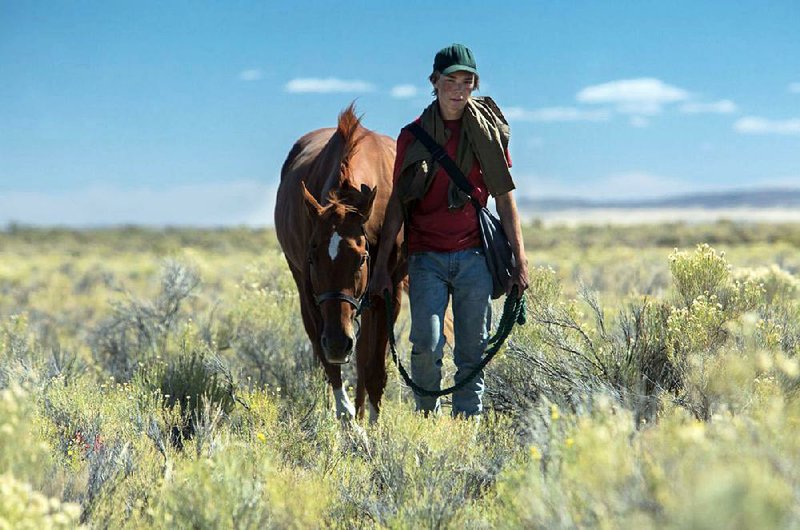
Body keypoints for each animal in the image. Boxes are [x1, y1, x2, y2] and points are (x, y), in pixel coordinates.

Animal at [276, 102, 404, 416]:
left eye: (360, 259)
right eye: (313, 257)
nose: (337, 343)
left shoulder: (387, 293)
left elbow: (374, 370)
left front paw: (373, 421)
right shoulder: (311, 294)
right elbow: (331, 368)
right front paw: (350, 422)